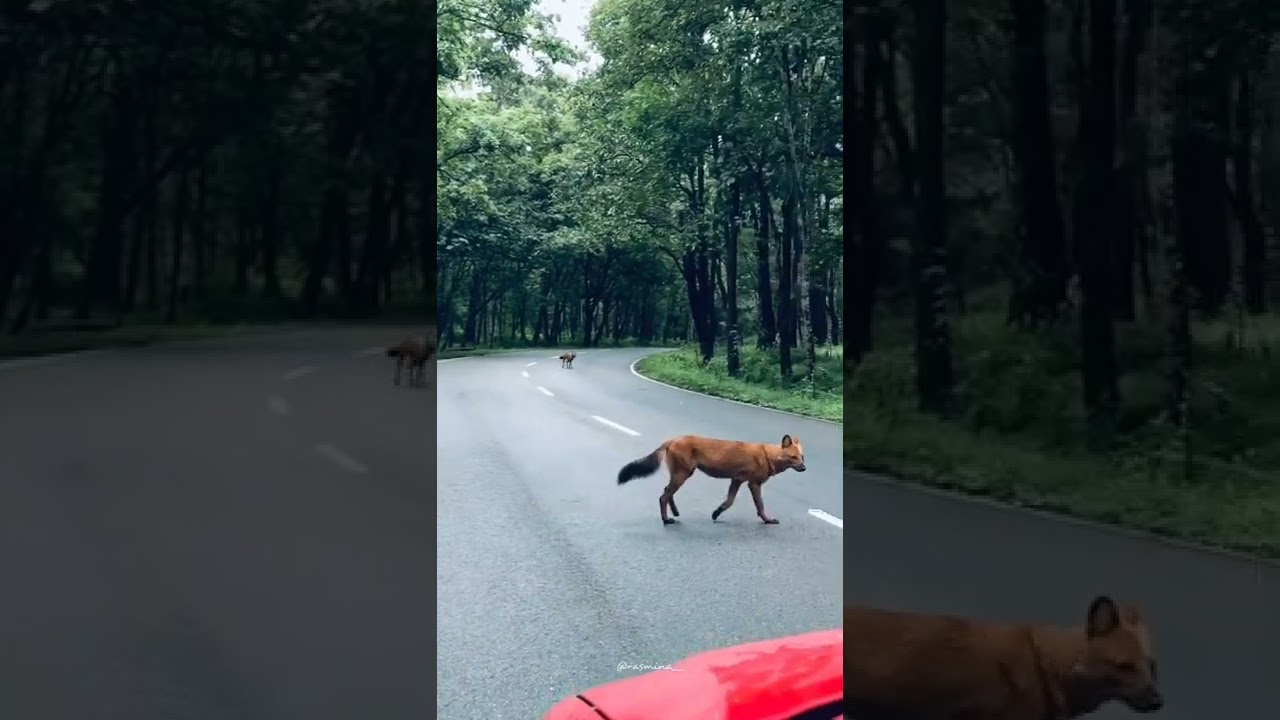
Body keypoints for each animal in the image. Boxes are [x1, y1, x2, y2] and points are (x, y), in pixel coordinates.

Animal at [616, 434, 806, 525]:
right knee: (664, 496)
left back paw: (675, 513)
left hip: (681, 475)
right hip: (683, 475)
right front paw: (768, 520)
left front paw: (716, 513)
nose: (804, 468)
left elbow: (728, 502)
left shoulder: (736, 480)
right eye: (793, 457)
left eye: (802, 457)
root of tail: (672, 439)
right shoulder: (753, 484)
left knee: (666, 492)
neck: (768, 456)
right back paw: (667, 520)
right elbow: (760, 506)